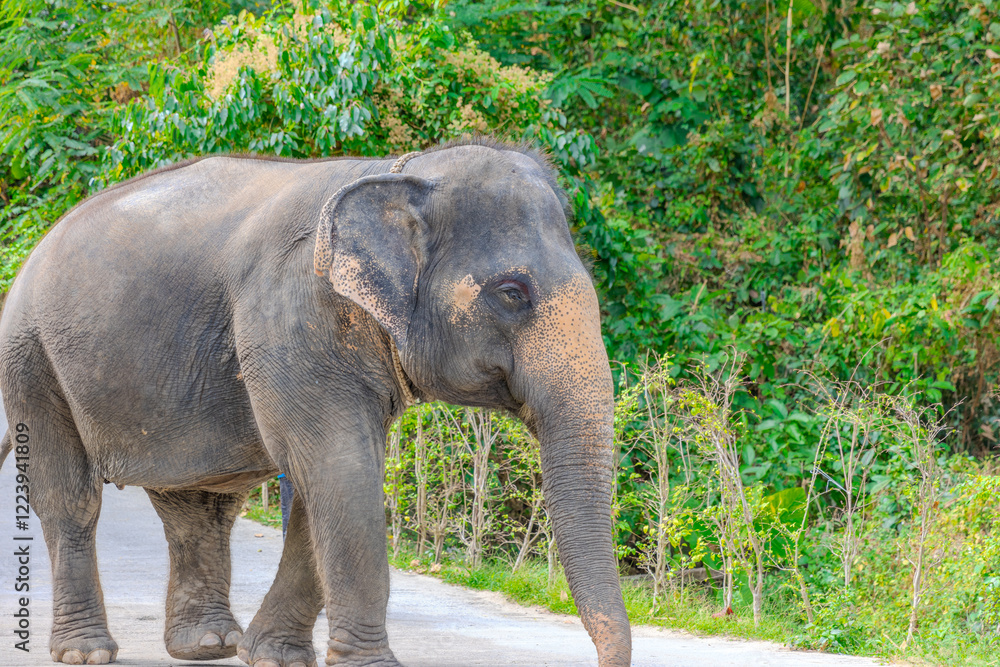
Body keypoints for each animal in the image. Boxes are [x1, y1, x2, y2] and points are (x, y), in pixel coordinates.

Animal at [0, 138, 631, 667]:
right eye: (511, 293)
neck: (400, 171)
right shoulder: (294, 318)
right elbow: (339, 471)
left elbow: (325, 481)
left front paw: (272, 657)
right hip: (31, 359)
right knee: (71, 500)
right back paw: (86, 653)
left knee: (200, 507)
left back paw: (208, 646)